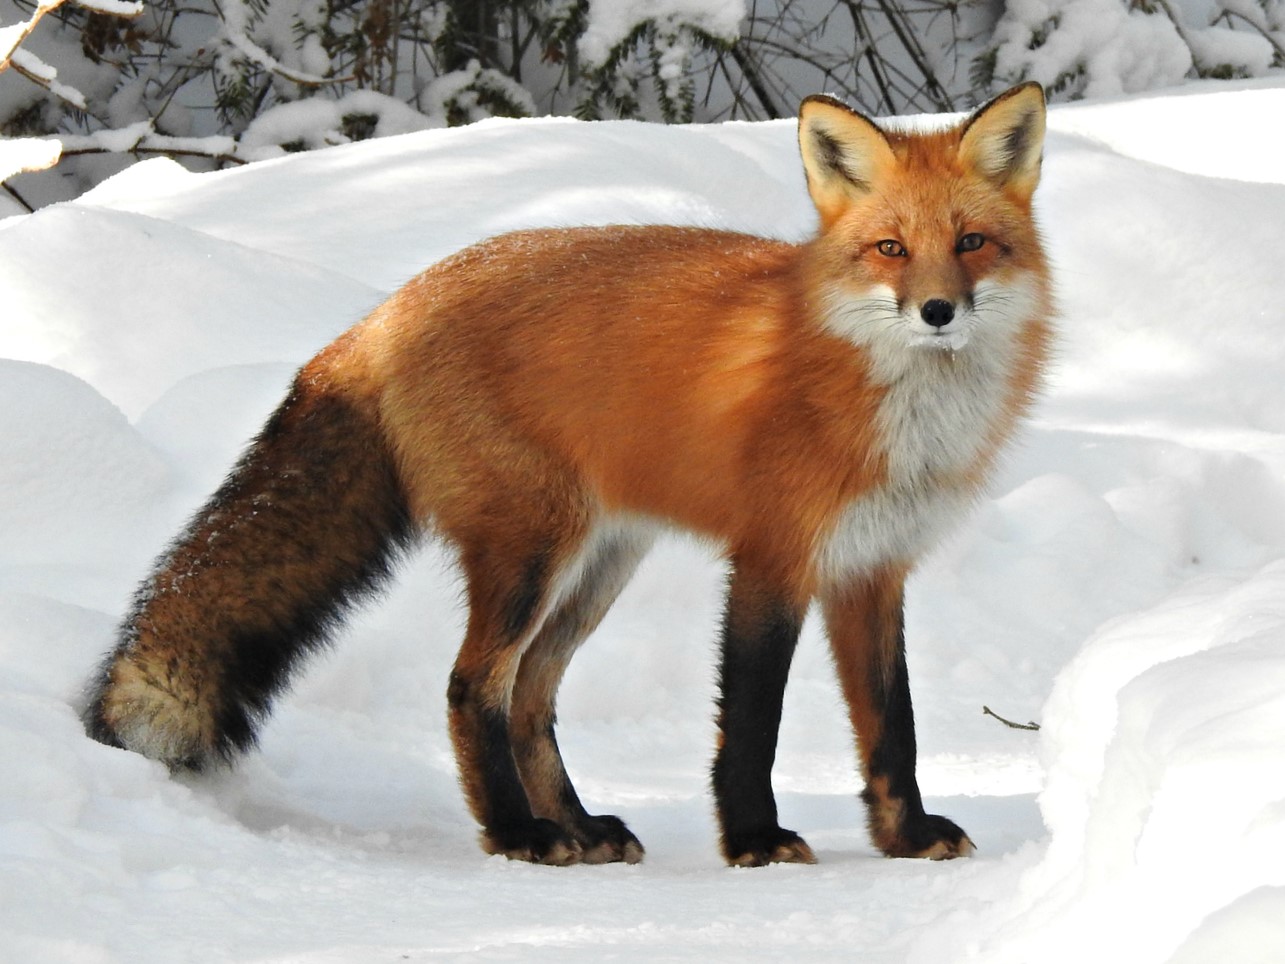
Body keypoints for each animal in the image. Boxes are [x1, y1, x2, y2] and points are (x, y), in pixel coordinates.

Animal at [80, 82, 1048, 868]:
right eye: (890, 248)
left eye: (971, 243)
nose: (937, 311)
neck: (890, 407)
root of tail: (382, 314)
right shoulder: (771, 560)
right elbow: (751, 723)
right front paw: (752, 840)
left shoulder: (871, 569)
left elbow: (893, 727)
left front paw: (905, 837)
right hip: (530, 553)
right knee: (473, 688)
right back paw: (518, 835)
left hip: (598, 564)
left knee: (530, 696)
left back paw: (577, 827)